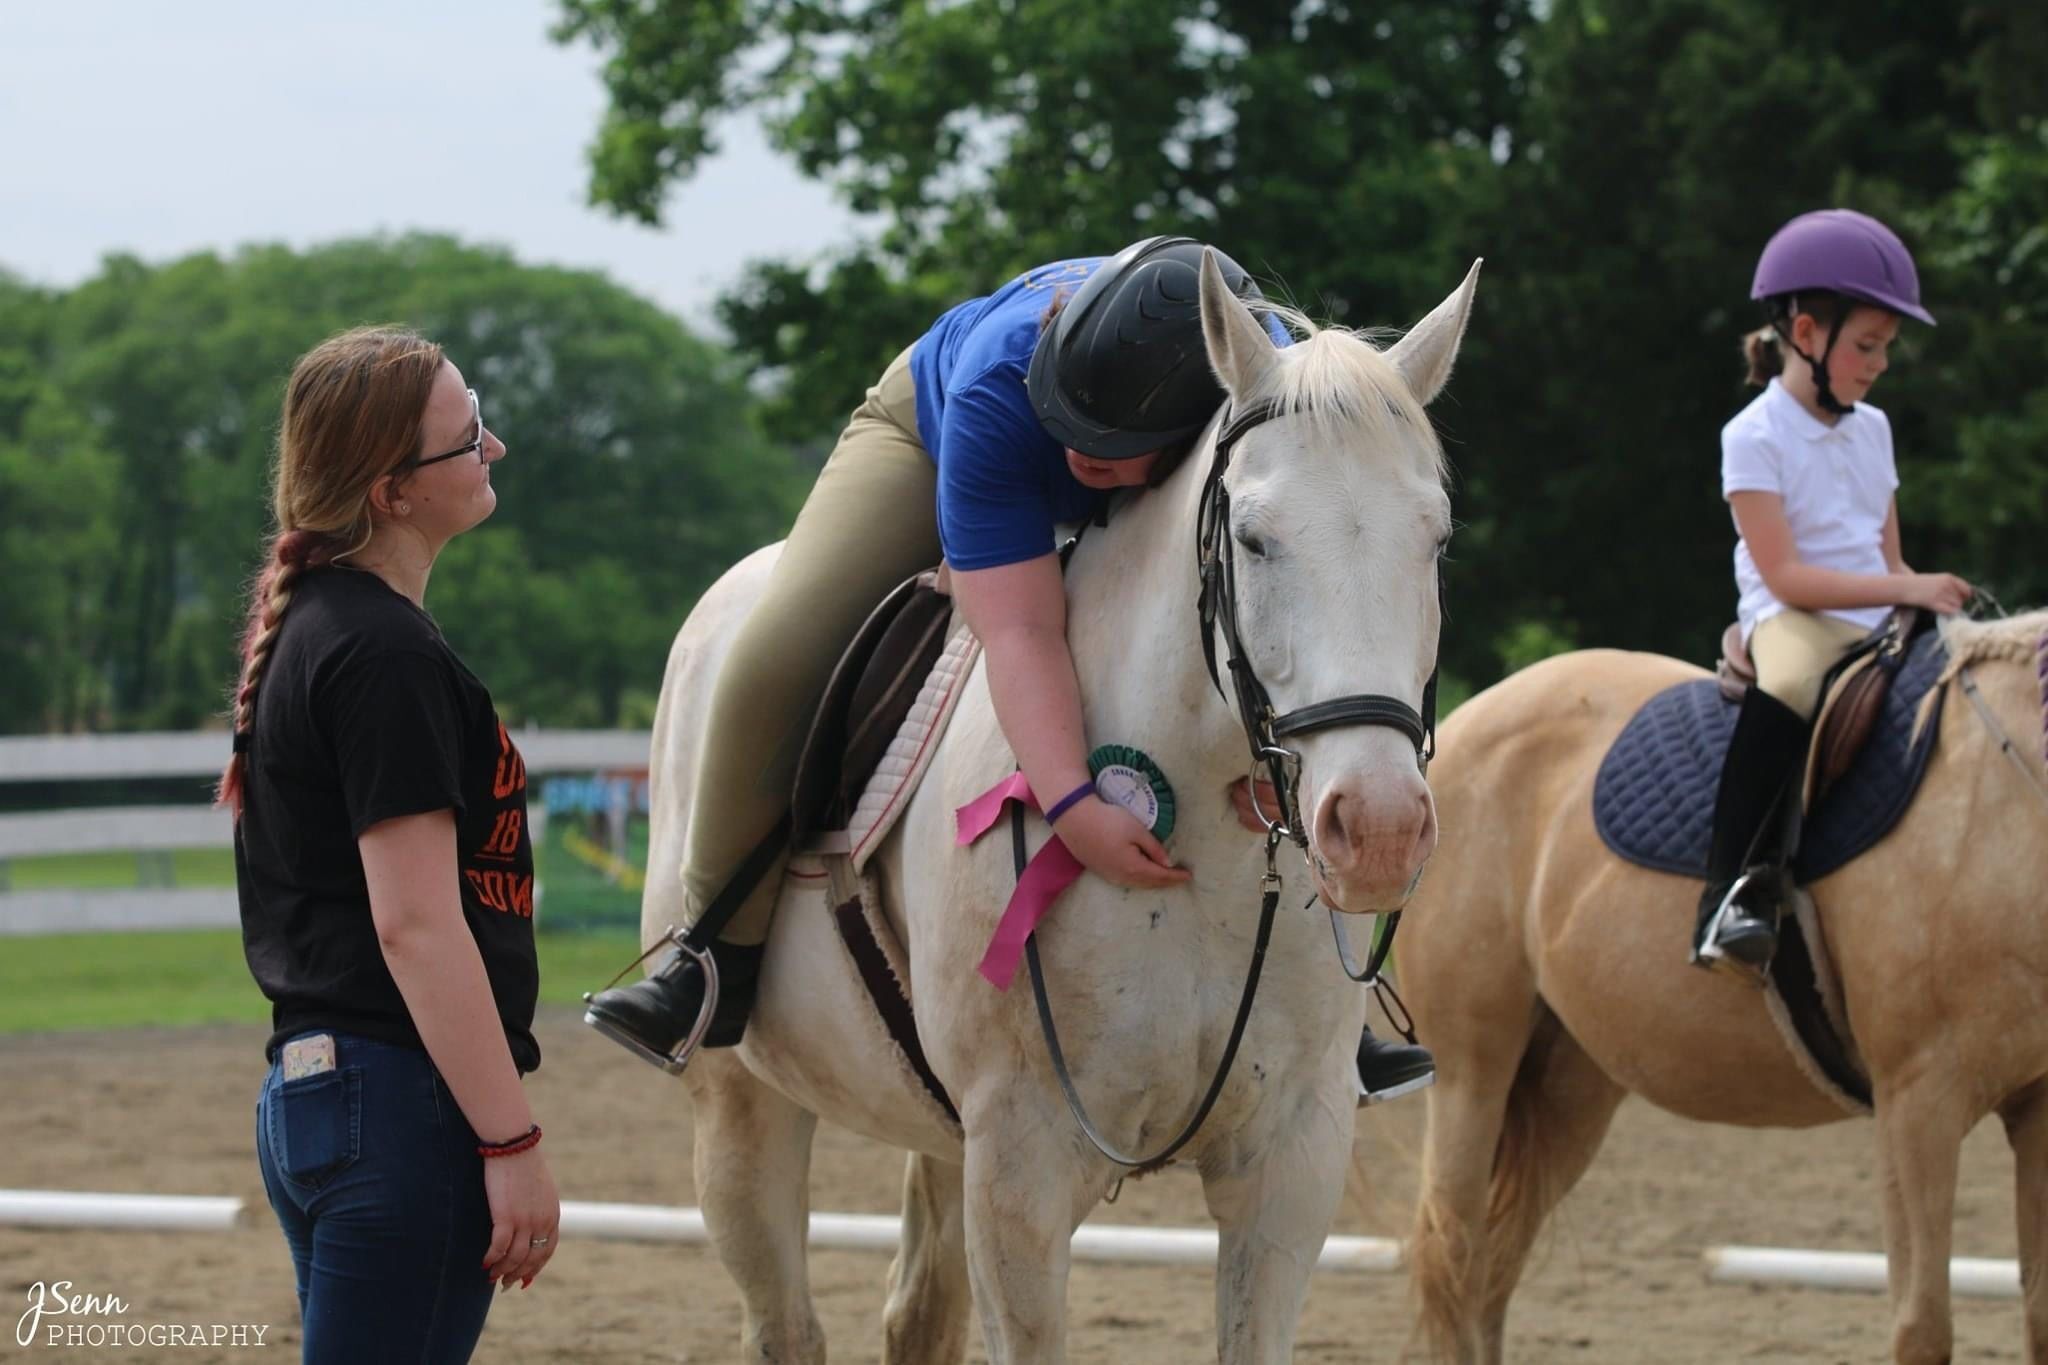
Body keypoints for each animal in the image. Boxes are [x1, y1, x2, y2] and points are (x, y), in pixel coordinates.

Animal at [634, 250, 1474, 1358]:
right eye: (1253, 540)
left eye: (1434, 541)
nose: (1377, 828)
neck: (1201, 858)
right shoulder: (1022, 1168)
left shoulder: (1289, 1162)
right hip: (742, 1107)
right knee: (784, 1322)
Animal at [1417, 613, 2048, 1358]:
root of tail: (1461, 725)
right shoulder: (1917, 1104)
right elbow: (1923, 1327)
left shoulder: (2037, 1108)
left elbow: (2038, 1315)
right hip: (1470, 1075)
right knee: (1455, 1262)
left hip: (1569, 1085)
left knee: (1493, 1276)